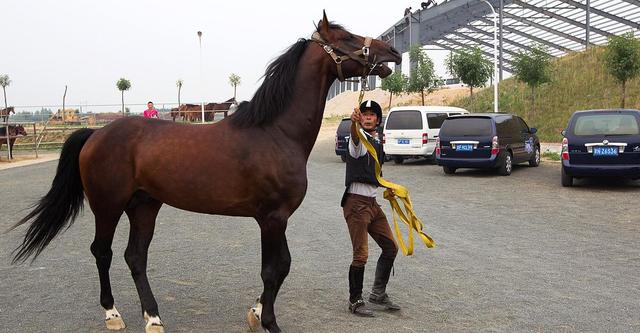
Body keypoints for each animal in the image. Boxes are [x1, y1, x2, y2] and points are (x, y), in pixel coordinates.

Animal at [11, 11, 400, 332]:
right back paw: (113, 314)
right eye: (347, 37)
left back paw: (153, 318)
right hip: (107, 206)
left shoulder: (277, 218)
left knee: (135, 257)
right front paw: (268, 322)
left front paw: (255, 313)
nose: (392, 52)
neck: (275, 132)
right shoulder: (272, 218)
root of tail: (96, 133)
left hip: (144, 205)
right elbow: (273, 270)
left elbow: (282, 267)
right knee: (102, 252)